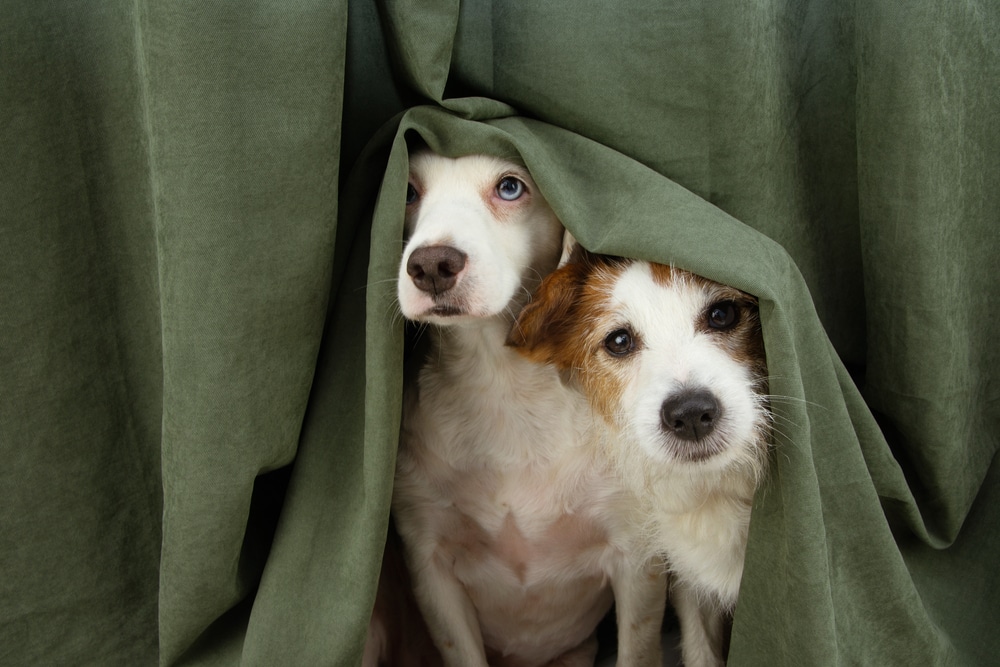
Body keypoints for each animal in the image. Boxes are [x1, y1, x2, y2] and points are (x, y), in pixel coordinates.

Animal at [386, 153, 668, 667]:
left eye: (510, 187)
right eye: (409, 190)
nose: (432, 264)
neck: (502, 386)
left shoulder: (636, 557)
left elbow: (637, 648)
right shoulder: (430, 565)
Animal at [512, 240, 768, 667]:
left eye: (722, 314)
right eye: (619, 341)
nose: (690, 414)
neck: (719, 489)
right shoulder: (693, 586)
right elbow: (701, 649)